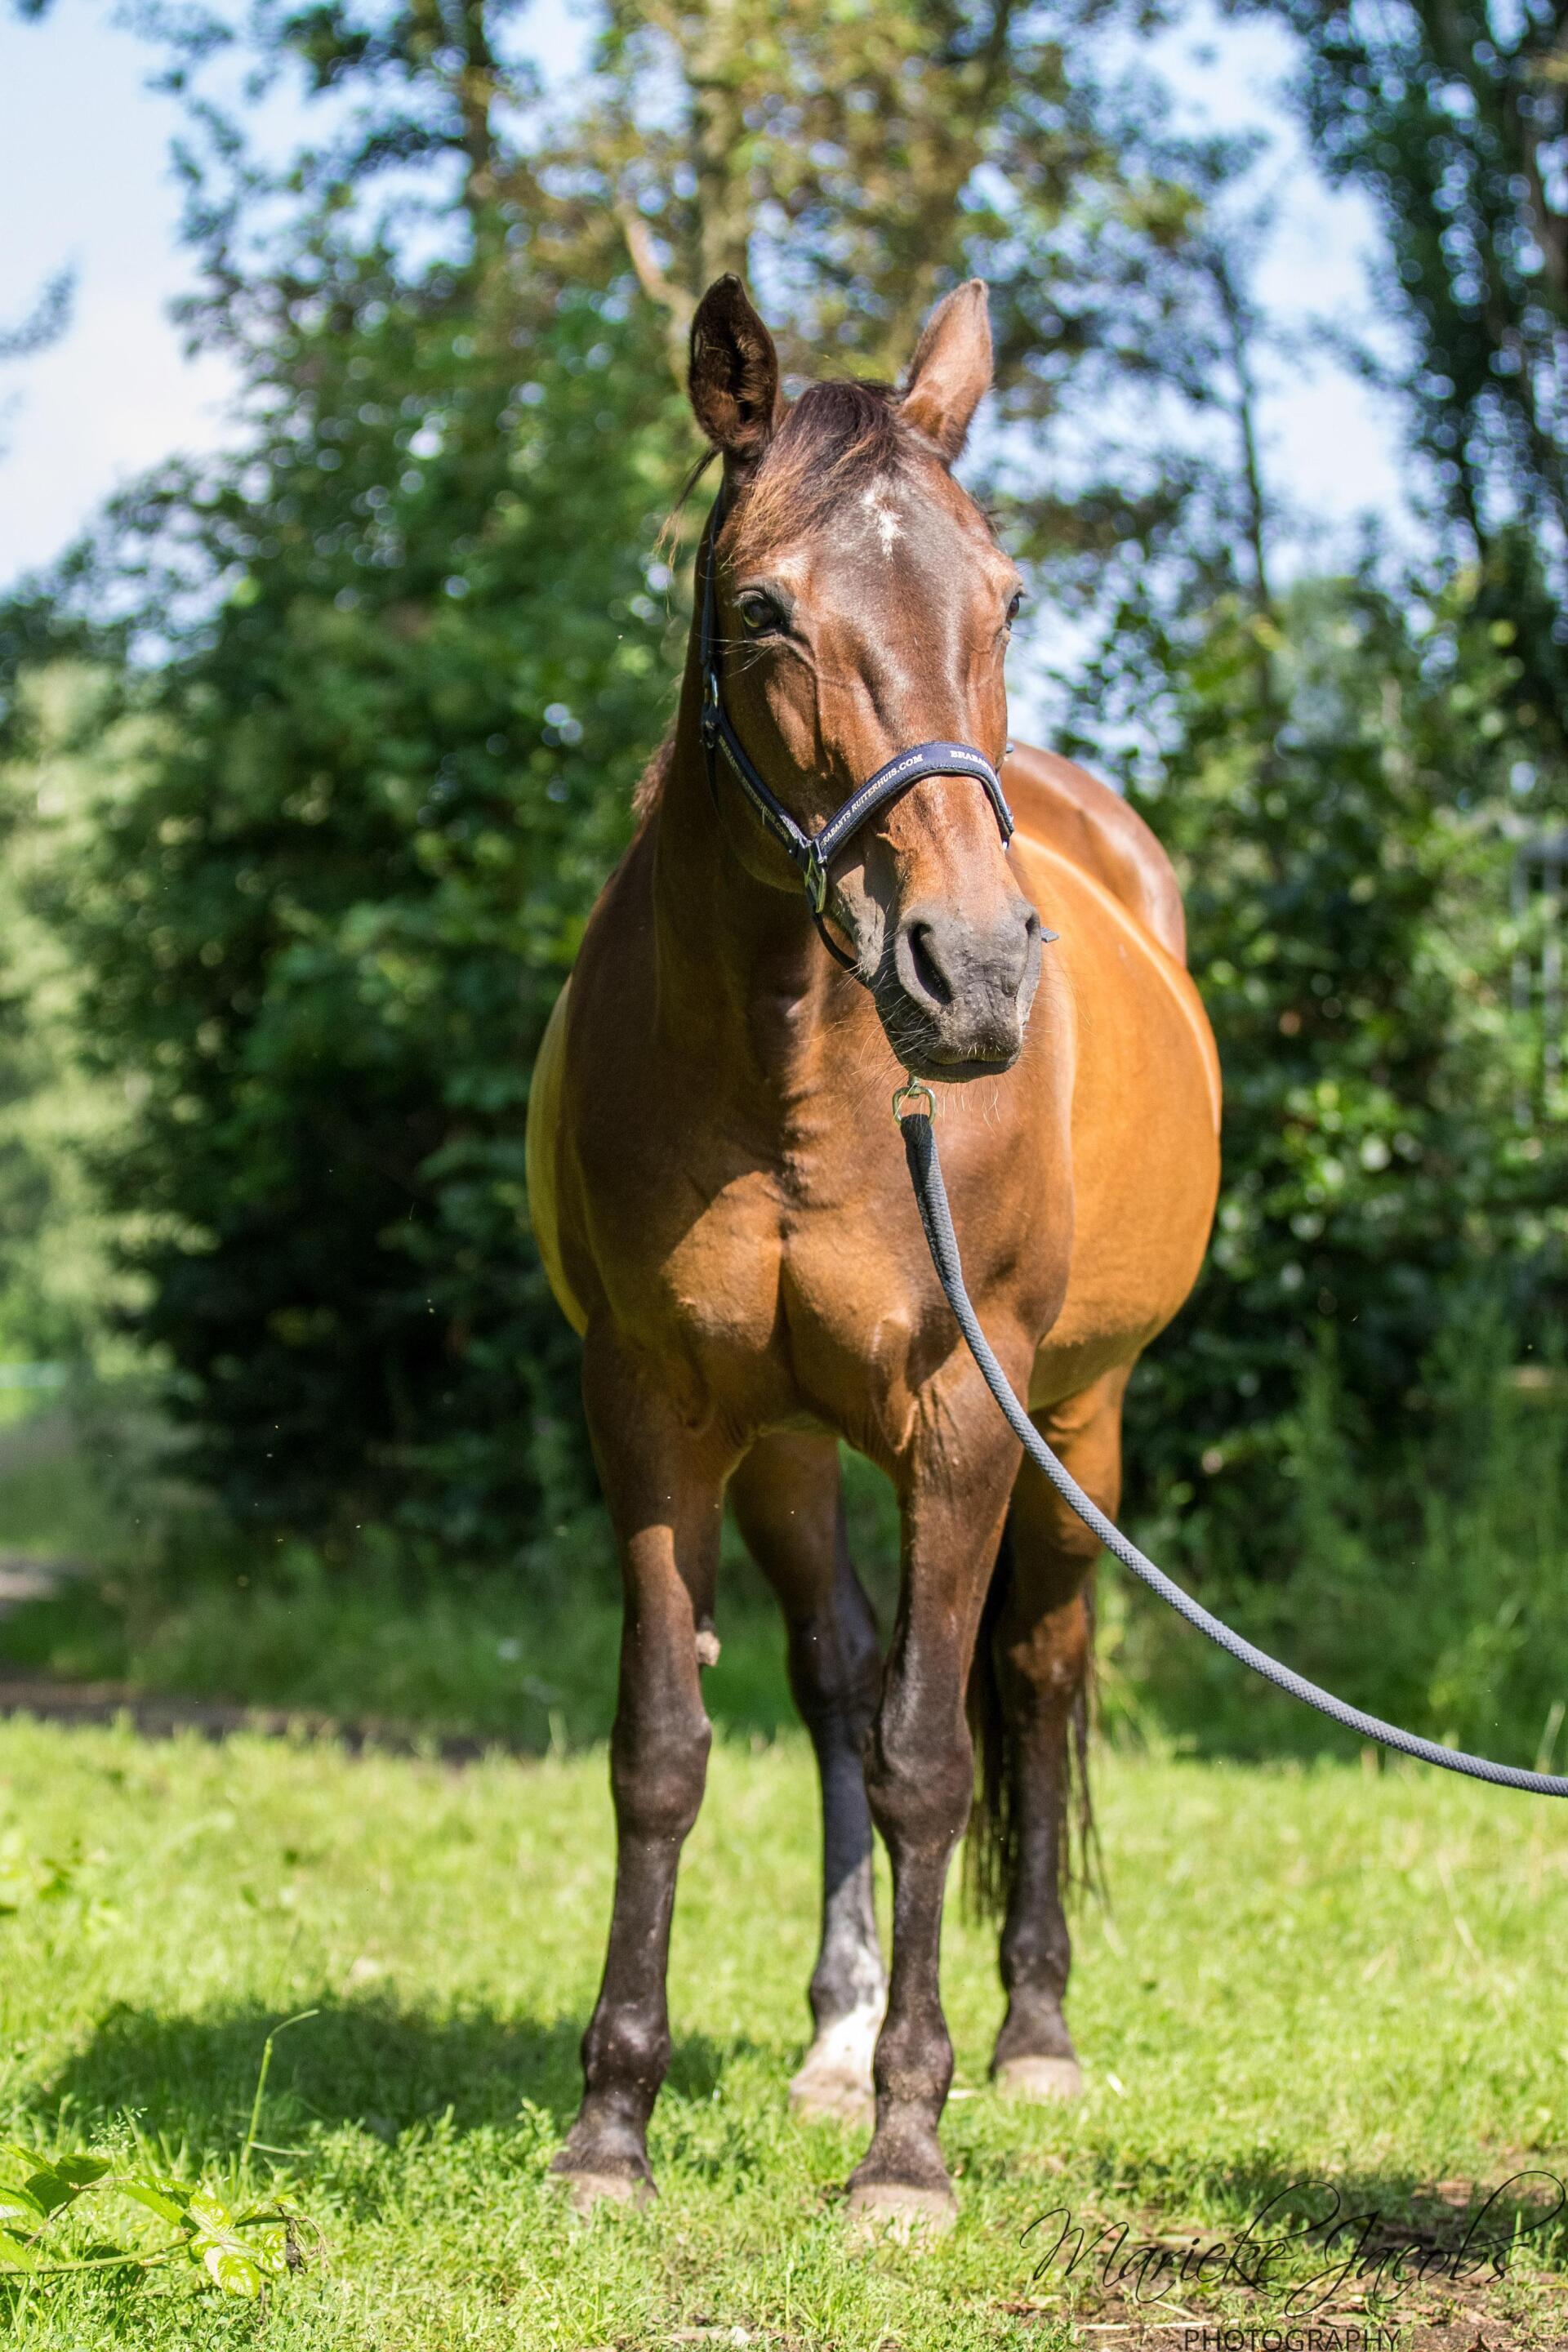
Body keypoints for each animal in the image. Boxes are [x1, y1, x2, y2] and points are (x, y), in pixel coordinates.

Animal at [525, 271, 1220, 2234]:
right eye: (766, 609)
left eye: (1006, 600)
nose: (971, 975)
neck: (794, 1071)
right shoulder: (657, 1415)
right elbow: (667, 1750)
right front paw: (613, 2128)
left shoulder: (971, 1423)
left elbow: (934, 1758)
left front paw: (914, 2149)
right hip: (784, 1445)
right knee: (837, 1672)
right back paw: (833, 2044)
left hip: (1083, 1422)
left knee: (1038, 1675)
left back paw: (1030, 2039)